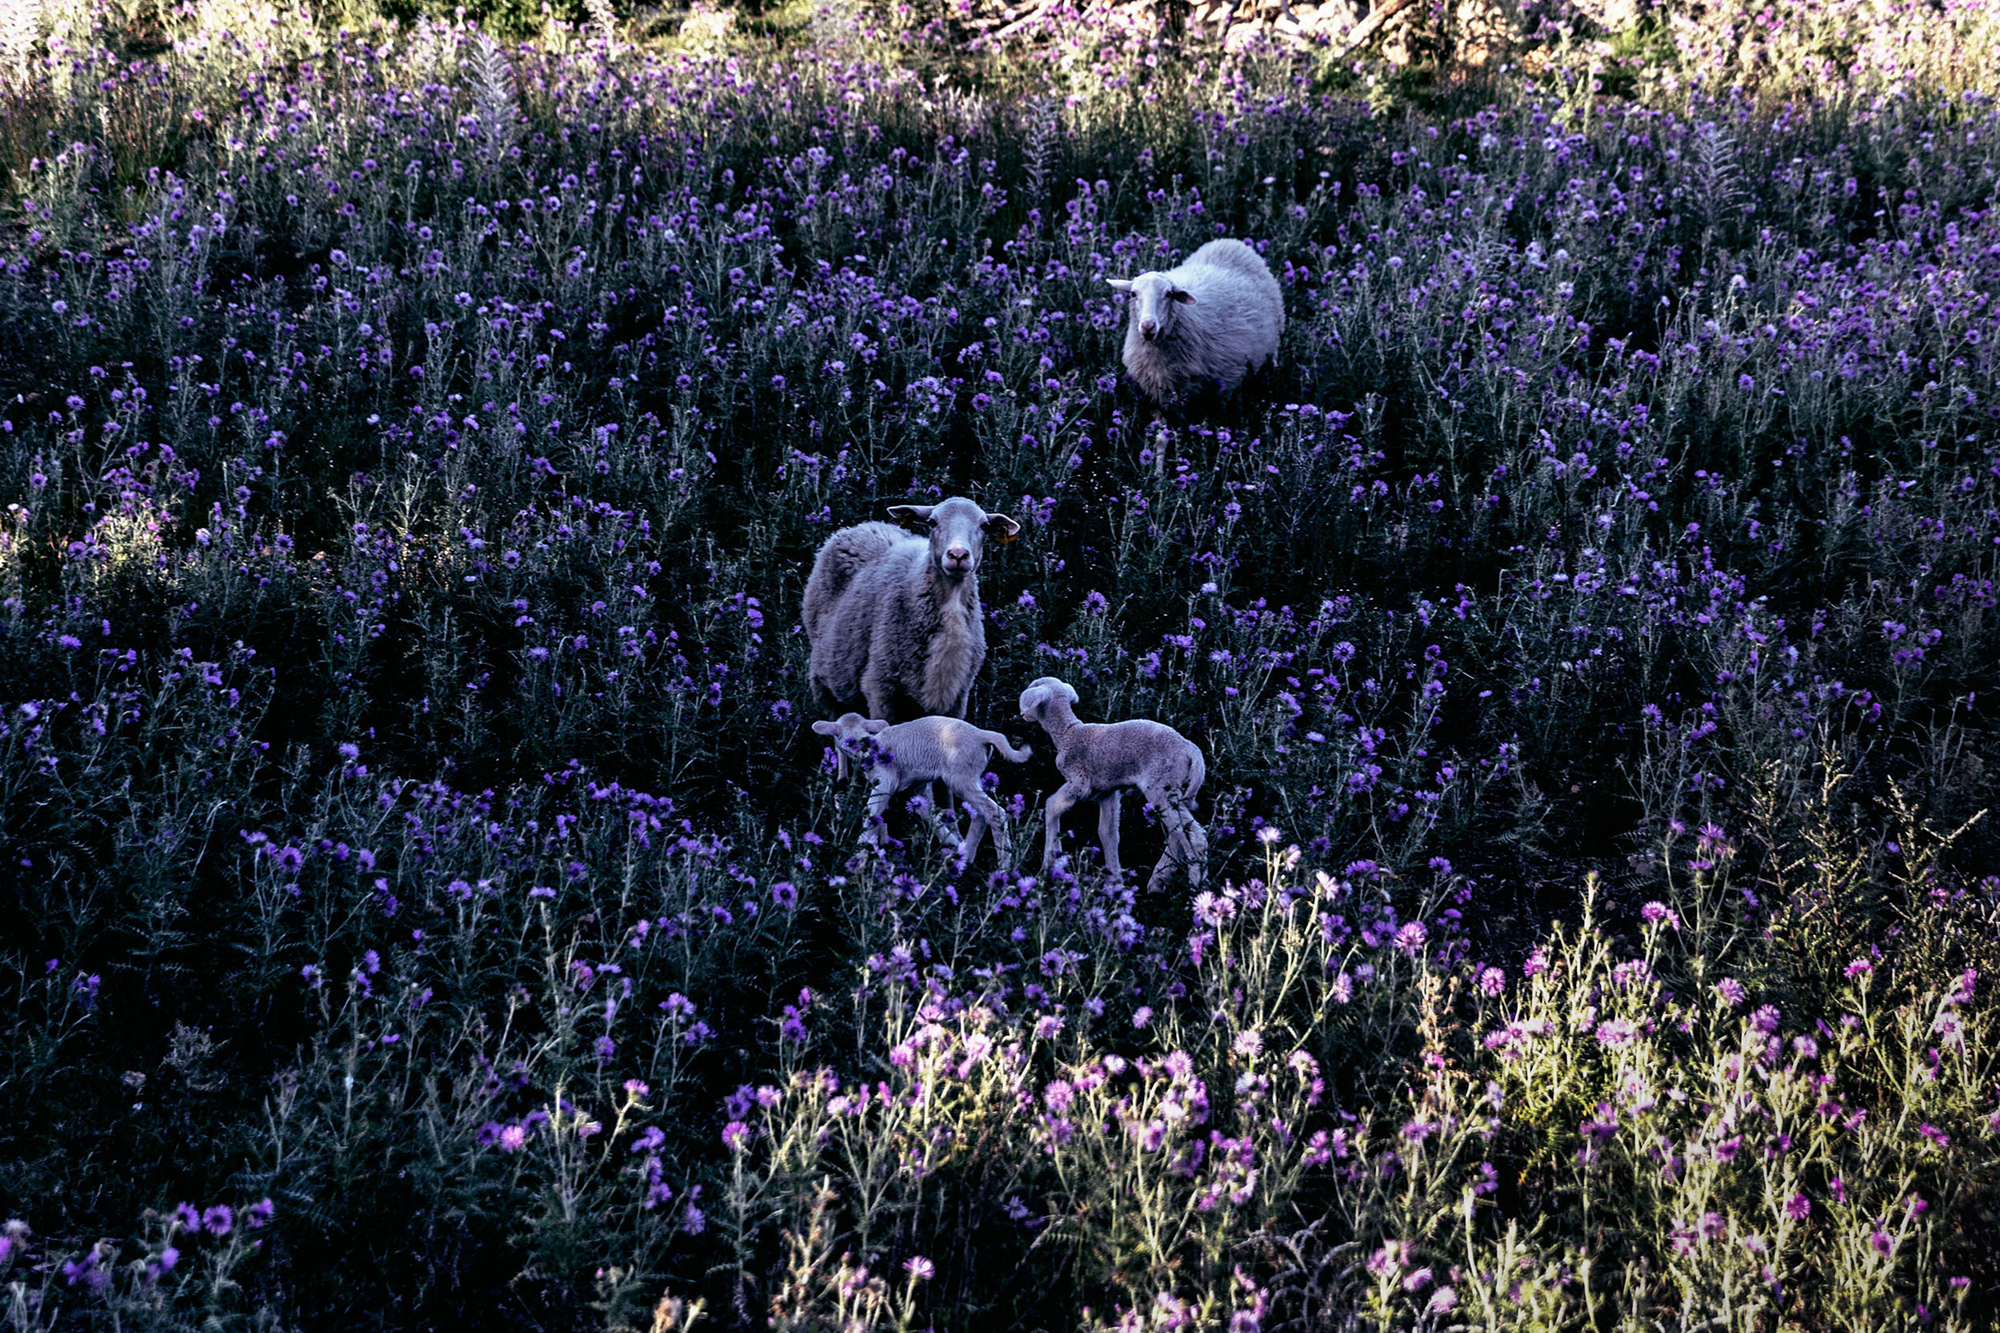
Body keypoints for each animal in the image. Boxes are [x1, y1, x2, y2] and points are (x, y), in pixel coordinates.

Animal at [796, 492, 1016, 720]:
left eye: (984, 525)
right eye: (932, 522)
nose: (957, 555)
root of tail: (862, 526)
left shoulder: (957, 697)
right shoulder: (879, 687)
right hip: (825, 687)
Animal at [812, 712, 1032, 868]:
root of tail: (982, 735)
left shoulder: (884, 782)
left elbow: (872, 814)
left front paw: (857, 857)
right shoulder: (920, 784)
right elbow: (928, 814)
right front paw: (950, 841)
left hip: (961, 776)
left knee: (995, 813)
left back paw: (1003, 866)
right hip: (967, 778)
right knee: (980, 814)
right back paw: (965, 856)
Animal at [1024, 680, 1208, 888]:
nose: (1023, 714)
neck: (1068, 733)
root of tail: (1191, 750)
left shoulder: (1080, 782)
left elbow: (1052, 805)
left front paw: (1049, 863)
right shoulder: (1107, 791)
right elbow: (1107, 832)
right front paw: (1114, 879)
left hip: (1162, 786)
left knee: (1193, 835)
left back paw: (1195, 883)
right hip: (1175, 789)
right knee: (1177, 834)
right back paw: (1158, 880)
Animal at [1104, 239, 1288, 402]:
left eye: (1169, 294)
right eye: (1133, 294)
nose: (1148, 326)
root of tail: (1232, 243)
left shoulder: (1226, 382)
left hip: (1272, 346)